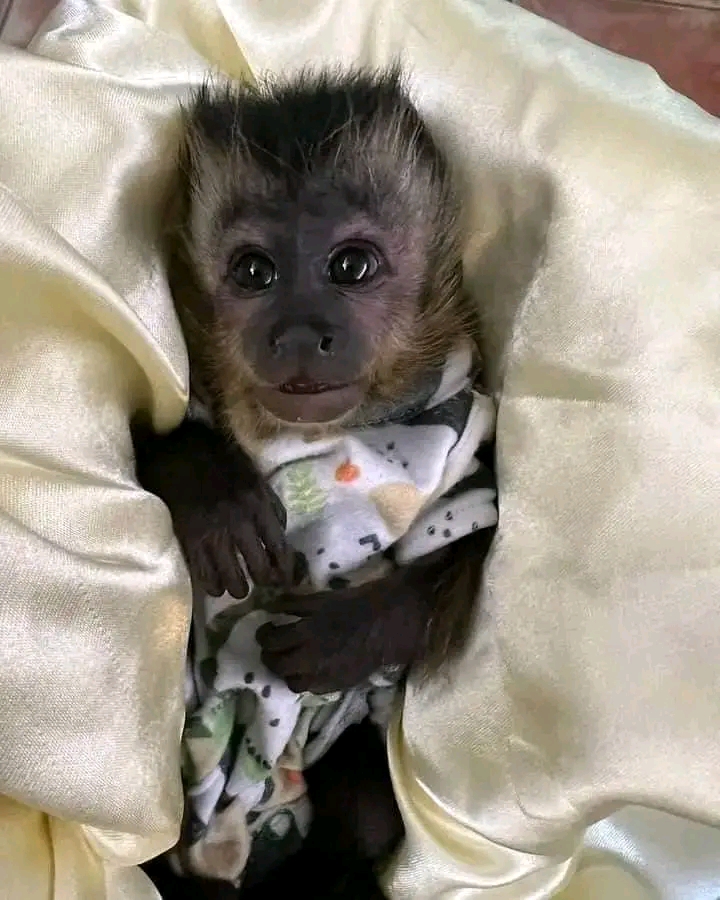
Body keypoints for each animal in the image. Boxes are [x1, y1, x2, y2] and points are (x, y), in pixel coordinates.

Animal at [134, 67, 498, 899]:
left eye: (350, 267)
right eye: (254, 271)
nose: (301, 332)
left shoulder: (460, 418)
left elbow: (476, 539)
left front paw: (355, 632)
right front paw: (211, 492)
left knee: (367, 806)